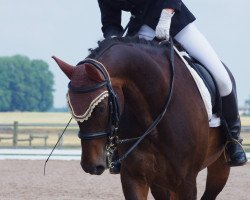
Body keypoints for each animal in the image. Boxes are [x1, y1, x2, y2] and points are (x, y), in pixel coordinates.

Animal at [52, 37, 230, 198]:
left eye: (101, 108)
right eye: (71, 108)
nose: (90, 166)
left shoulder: (187, 183)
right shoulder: (134, 178)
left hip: (219, 166)